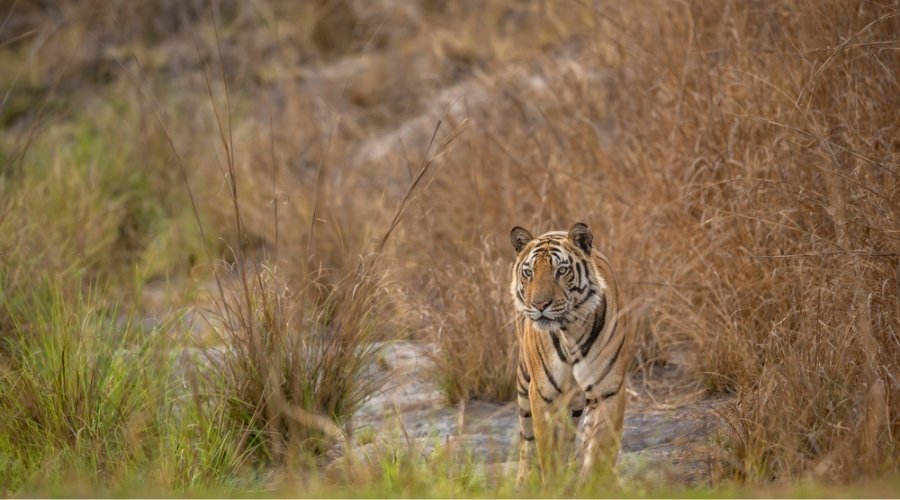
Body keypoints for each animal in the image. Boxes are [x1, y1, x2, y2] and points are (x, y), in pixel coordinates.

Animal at [509, 222, 630, 486]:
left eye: (561, 271)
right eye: (529, 272)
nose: (540, 305)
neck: (570, 331)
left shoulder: (608, 389)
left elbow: (600, 449)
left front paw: (593, 485)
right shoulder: (543, 394)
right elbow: (547, 450)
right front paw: (553, 485)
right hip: (524, 383)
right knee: (527, 437)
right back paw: (524, 481)